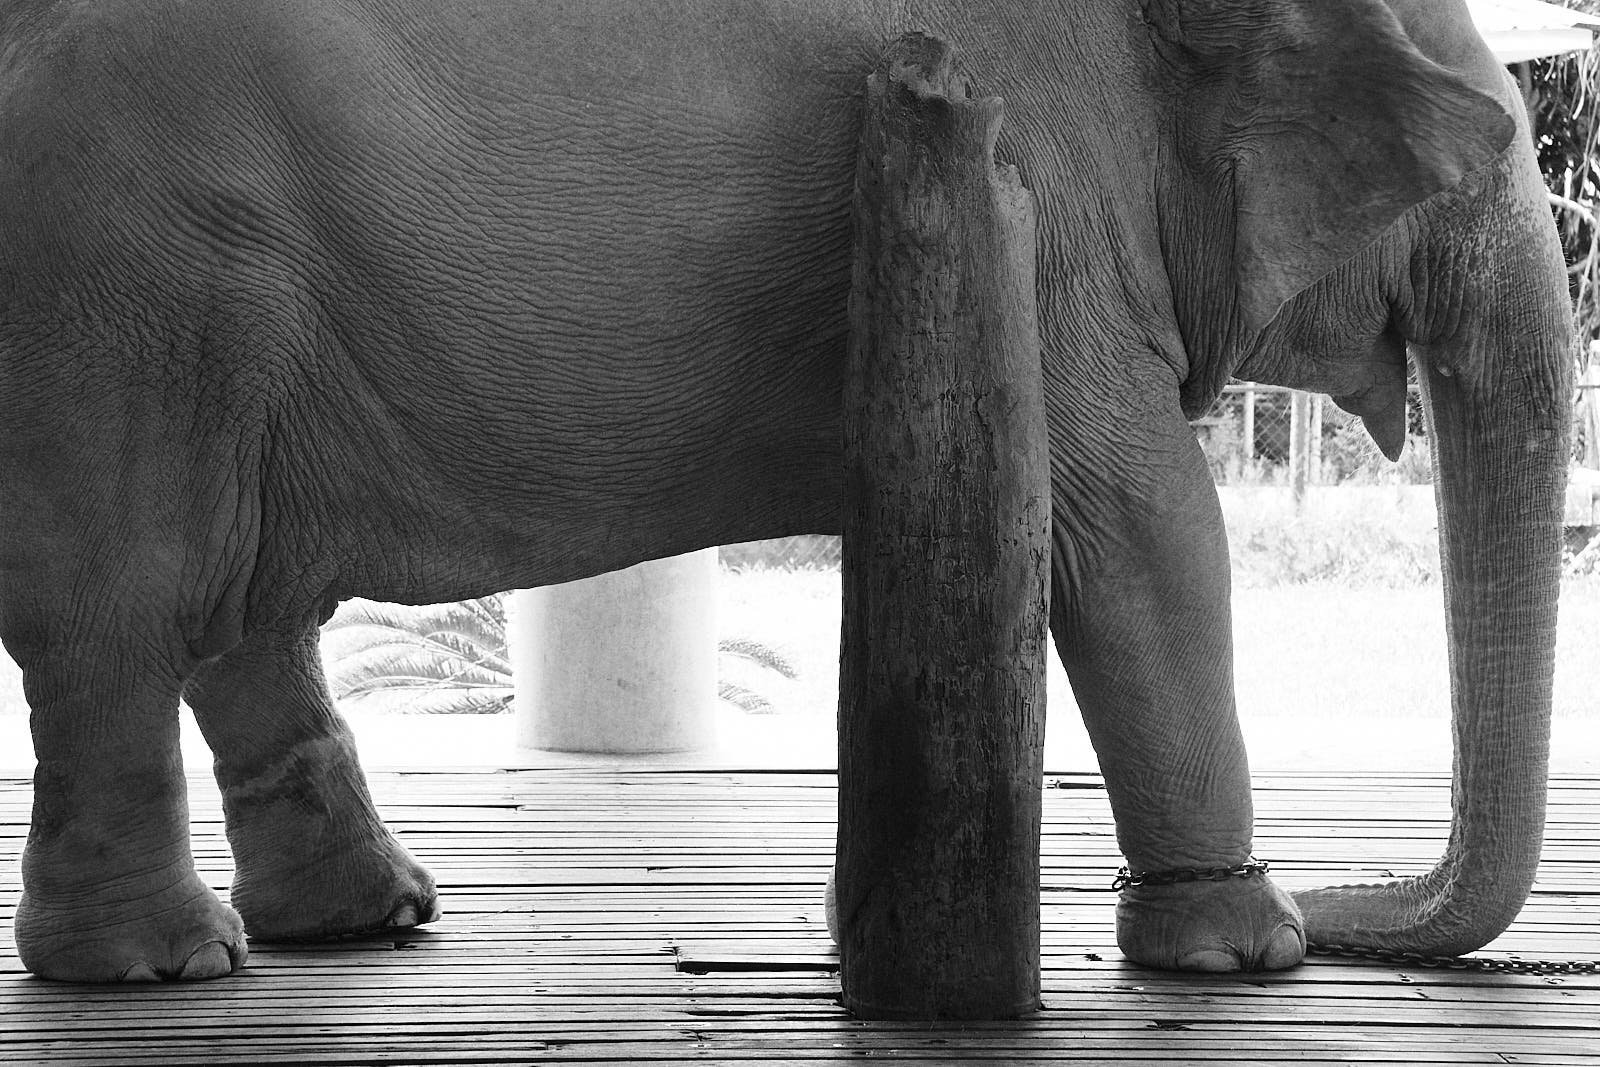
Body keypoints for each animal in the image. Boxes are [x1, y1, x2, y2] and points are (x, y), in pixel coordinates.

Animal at [0, 0, 1572, 982]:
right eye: (1480, 144)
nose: (1344, 897)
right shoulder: (1051, 194)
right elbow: (1141, 530)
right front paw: (1249, 947)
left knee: (244, 608)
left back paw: (367, 918)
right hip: (127, 292)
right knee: (122, 611)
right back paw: (164, 962)